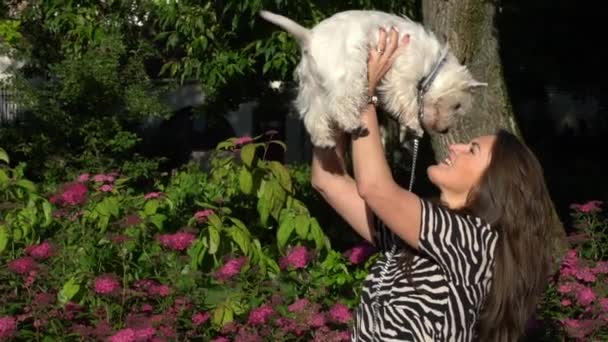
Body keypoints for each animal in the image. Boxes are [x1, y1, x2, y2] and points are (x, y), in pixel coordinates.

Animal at [258, 9, 486, 147]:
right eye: (457, 105)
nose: (445, 130)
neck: (434, 63)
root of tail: (310, 37)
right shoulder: (401, 77)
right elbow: (408, 103)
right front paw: (415, 126)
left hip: (312, 88)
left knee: (313, 115)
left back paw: (325, 141)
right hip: (350, 73)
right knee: (340, 104)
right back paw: (353, 125)